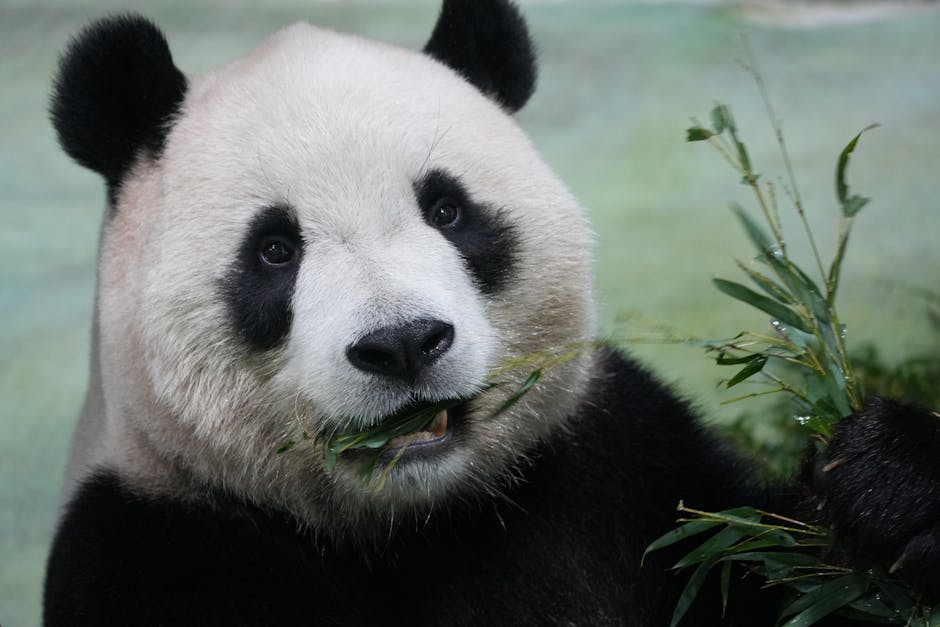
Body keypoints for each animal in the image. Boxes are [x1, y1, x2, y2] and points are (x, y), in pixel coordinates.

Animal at [44, 1, 940, 625]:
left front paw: (885, 482)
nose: (403, 342)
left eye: (446, 209)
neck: (426, 522)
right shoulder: (156, 545)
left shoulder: (623, 460)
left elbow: (770, 561)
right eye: (274, 250)